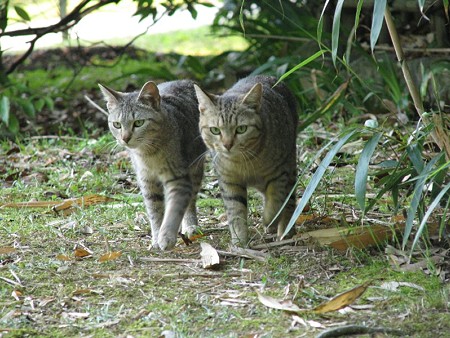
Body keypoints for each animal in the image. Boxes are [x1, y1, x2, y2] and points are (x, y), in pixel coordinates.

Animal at [99, 80, 207, 251]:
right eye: (116, 125)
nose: (125, 138)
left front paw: (166, 236)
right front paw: (156, 238)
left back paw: (190, 226)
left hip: (195, 168)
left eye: (138, 123)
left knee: (191, 200)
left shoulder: (178, 179)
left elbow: (174, 209)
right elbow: (155, 212)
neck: (148, 154)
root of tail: (186, 81)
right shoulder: (147, 181)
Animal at [194, 75, 298, 247]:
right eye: (215, 130)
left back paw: (285, 231)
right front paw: (239, 241)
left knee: (289, 200)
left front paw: (269, 220)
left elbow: (276, 201)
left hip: (289, 164)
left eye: (241, 129)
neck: (243, 162)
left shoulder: (279, 174)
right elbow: (236, 211)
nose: (227, 144)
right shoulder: (229, 182)